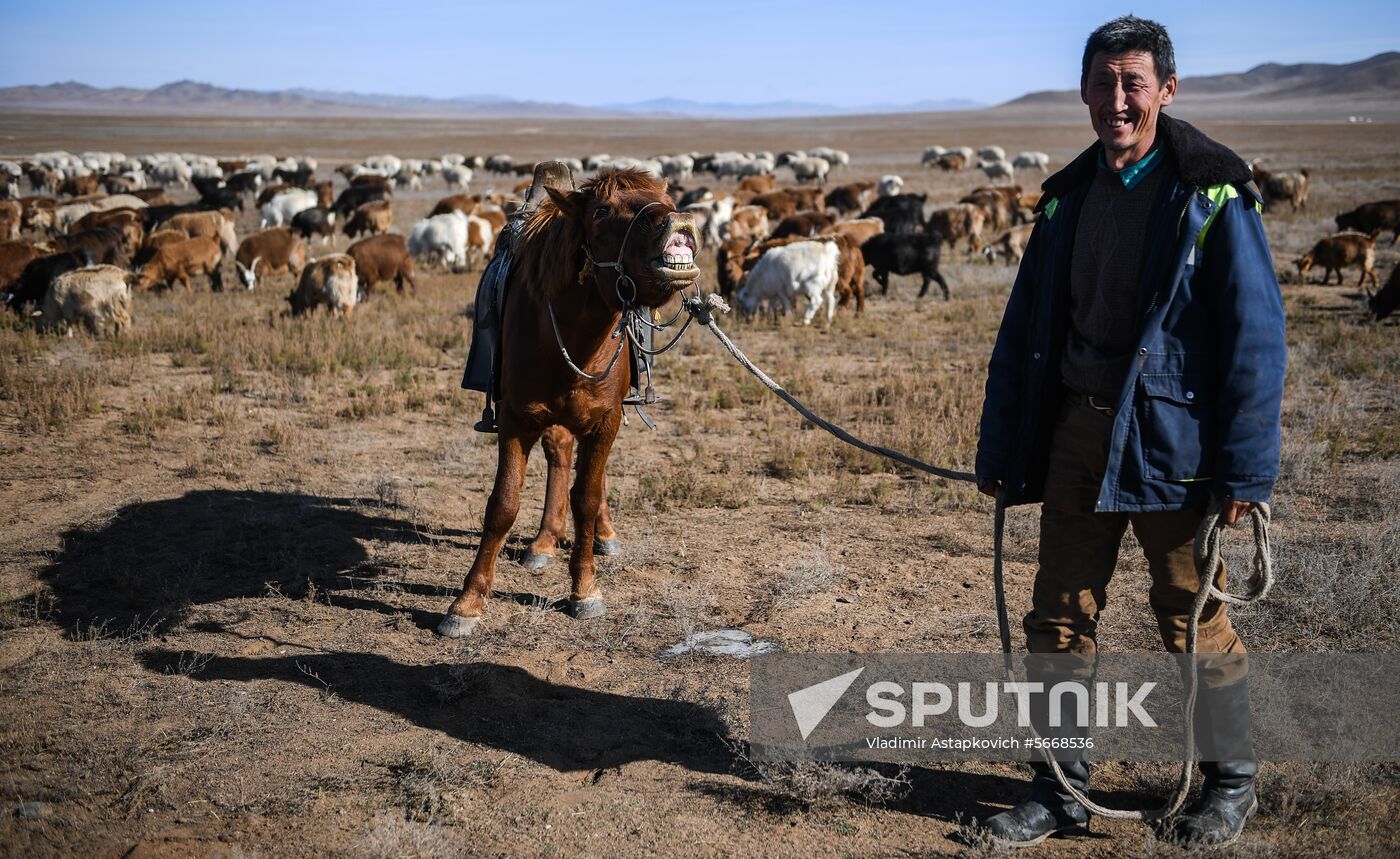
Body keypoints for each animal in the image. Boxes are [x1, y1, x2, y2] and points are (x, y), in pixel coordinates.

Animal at [436, 169, 700, 640]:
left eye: (668, 201)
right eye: (601, 210)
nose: (680, 223)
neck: (575, 338)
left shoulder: (606, 421)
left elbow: (587, 499)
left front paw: (585, 589)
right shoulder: (516, 419)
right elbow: (503, 505)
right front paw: (467, 603)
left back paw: (603, 534)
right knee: (559, 455)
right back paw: (544, 541)